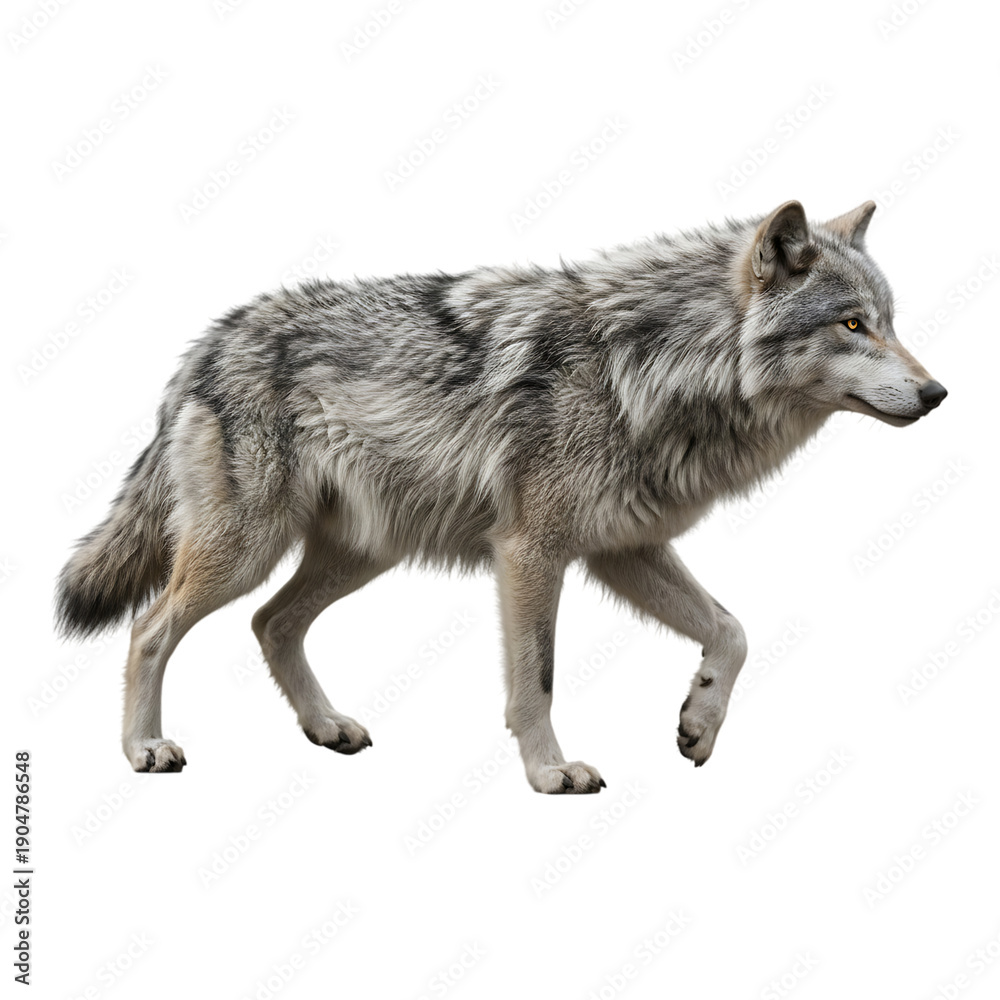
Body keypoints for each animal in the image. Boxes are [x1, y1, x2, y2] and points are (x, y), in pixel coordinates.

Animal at [56, 200, 947, 792]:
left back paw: (326, 728)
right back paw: (145, 750)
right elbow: (537, 680)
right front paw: (551, 773)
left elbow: (732, 632)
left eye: (890, 321)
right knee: (149, 628)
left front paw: (698, 724)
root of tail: (209, 339)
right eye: (852, 325)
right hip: (247, 551)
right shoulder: (531, 552)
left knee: (271, 624)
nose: (938, 393)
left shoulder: (624, 549)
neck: (651, 366)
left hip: (361, 553)